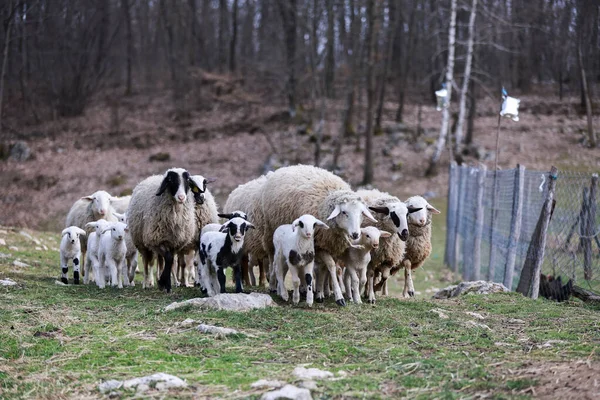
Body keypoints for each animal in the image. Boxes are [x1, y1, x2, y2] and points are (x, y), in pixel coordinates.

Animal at [260, 163, 378, 306]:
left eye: (361, 213)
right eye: (344, 212)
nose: (355, 234)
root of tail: (284, 168)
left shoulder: (329, 246)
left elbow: (323, 270)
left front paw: (320, 293)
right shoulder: (320, 246)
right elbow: (331, 267)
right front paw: (339, 297)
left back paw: (303, 289)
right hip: (270, 232)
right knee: (274, 262)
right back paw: (275, 287)